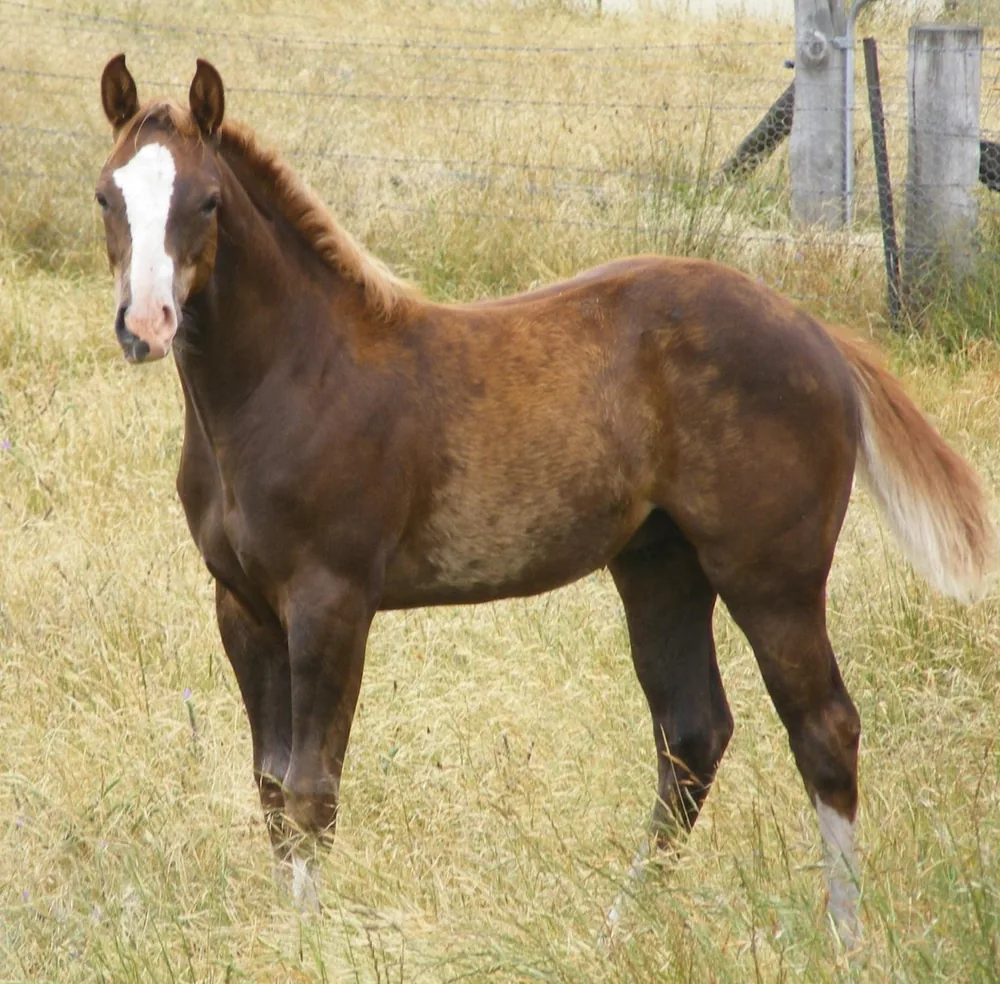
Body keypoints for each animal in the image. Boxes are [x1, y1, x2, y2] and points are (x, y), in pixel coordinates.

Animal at [94, 53, 995, 945]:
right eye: (106, 195)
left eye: (207, 201)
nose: (147, 323)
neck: (290, 375)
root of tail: (818, 337)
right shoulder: (241, 605)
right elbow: (272, 787)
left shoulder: (332, 599)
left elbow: (313, 790)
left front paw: (312, 944)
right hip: (661, 567)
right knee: (693, 733)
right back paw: (617, 931)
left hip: (772, 577)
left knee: (825, 731)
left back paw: (845, 940)